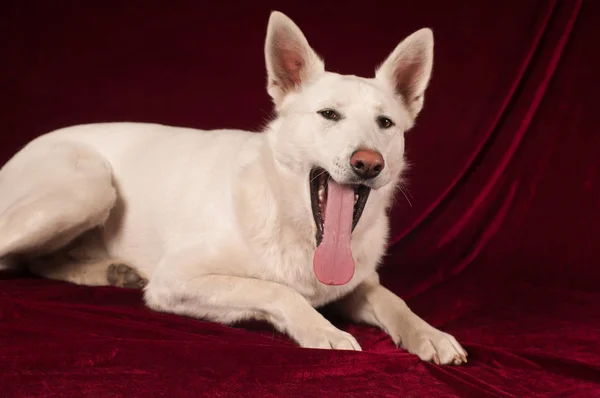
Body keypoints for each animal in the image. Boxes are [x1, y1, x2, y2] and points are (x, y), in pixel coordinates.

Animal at [0, 10, 466, 364]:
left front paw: (429, 333)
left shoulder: (356, 284)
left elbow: (391, 299)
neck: (293, 221)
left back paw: (110, 272)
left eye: (385, 123)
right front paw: (323, 330)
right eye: (329, 115)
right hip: (88, 187)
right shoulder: (176, 280)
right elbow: (277, 289)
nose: (368, 163)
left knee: (38, 262)